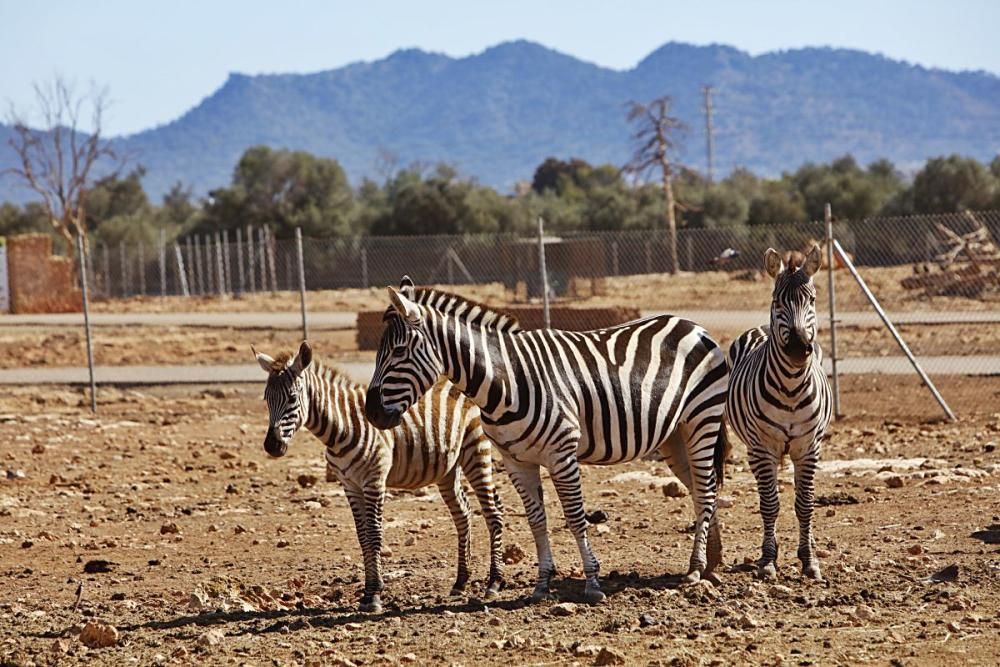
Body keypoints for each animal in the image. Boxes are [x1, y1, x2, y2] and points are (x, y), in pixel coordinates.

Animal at [254, 342, 504, 612]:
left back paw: (494, 581)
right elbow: (363, 537)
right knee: (463, 513)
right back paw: (461, 581)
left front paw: (374, 595)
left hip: (476, 450)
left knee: (493, 511)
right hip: (447, 468)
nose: (272, 446)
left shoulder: (374, 481)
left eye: (292, 398)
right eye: (266, 399)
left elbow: (374, 535)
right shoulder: (350, 485)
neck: (342, 427)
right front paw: (367, 592)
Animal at [728, 244, 836, 580]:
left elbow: (805, 504)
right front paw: (768, 560)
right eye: (777, 302)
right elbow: (769, 505)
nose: (799, 349)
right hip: (758, 449)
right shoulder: (764, 448)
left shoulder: (809, 448)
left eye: (812, 300)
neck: (790, 386)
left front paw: (809, 559)